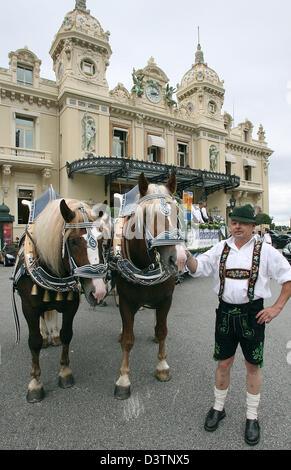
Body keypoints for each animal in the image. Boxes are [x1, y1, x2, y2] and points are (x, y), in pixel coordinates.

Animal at [12, 198, 112, 404]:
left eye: (102, 242)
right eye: (73, 241)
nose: (99, 292)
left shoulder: (71, 305)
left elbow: (67, 334)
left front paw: (65, 372)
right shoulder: (28, 307)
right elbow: (33, 341)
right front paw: (35, 383)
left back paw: (54, 335)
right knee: (42, 319)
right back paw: (45, 336)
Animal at [114, 173, 187, 400]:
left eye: (177, 212)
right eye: (147, 215)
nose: (178, 259)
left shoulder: (166, 299)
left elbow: (163, 330)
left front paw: (162, 366)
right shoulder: (125, 301)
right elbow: (128, 340)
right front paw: (123, 379)